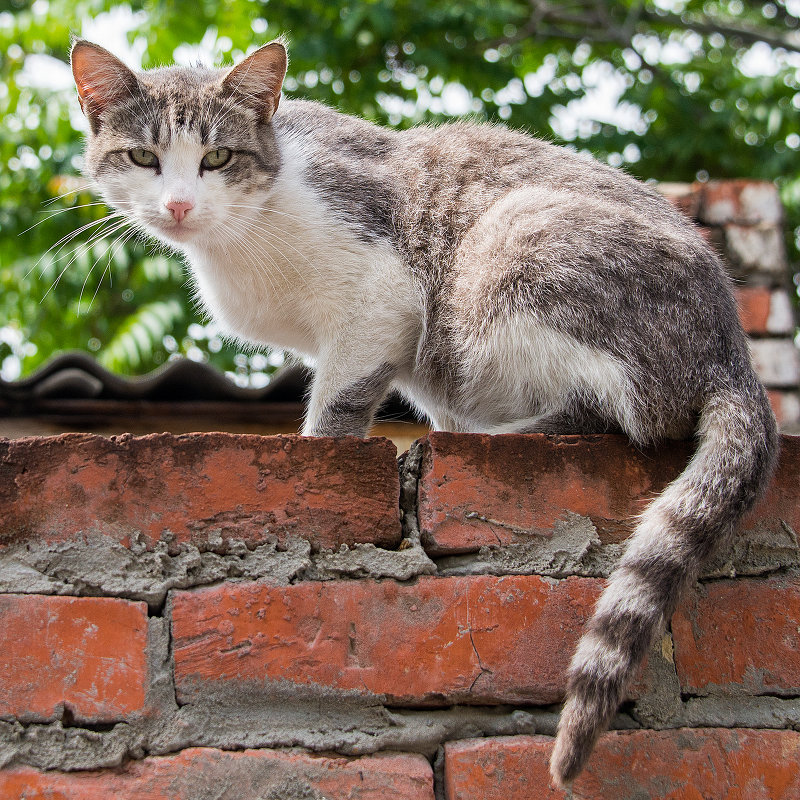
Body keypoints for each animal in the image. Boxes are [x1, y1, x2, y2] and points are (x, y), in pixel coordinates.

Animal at [72, 40, 780, 784]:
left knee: (619, 415)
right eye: (143, 157)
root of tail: (733, 350)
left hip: (511, 247)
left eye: (217, 157)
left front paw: (324, 444)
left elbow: (340, 401)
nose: (179, 204)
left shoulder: (381, 297)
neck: (242, 233)